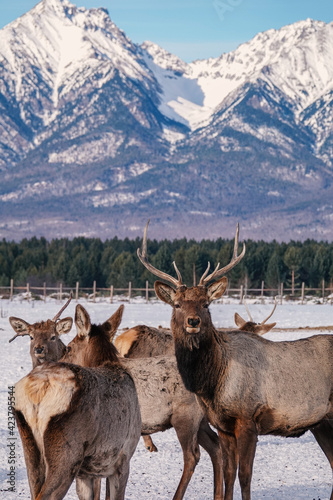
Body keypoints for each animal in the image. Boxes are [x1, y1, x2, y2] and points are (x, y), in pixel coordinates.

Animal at [137, 221, 332, 500]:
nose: (193, 321)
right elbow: (228, 473)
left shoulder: (248, 418)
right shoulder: (223, 425)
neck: (214, 382)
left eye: (206, 303)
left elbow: (245, 476)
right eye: (177, 304)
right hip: (322, 424)